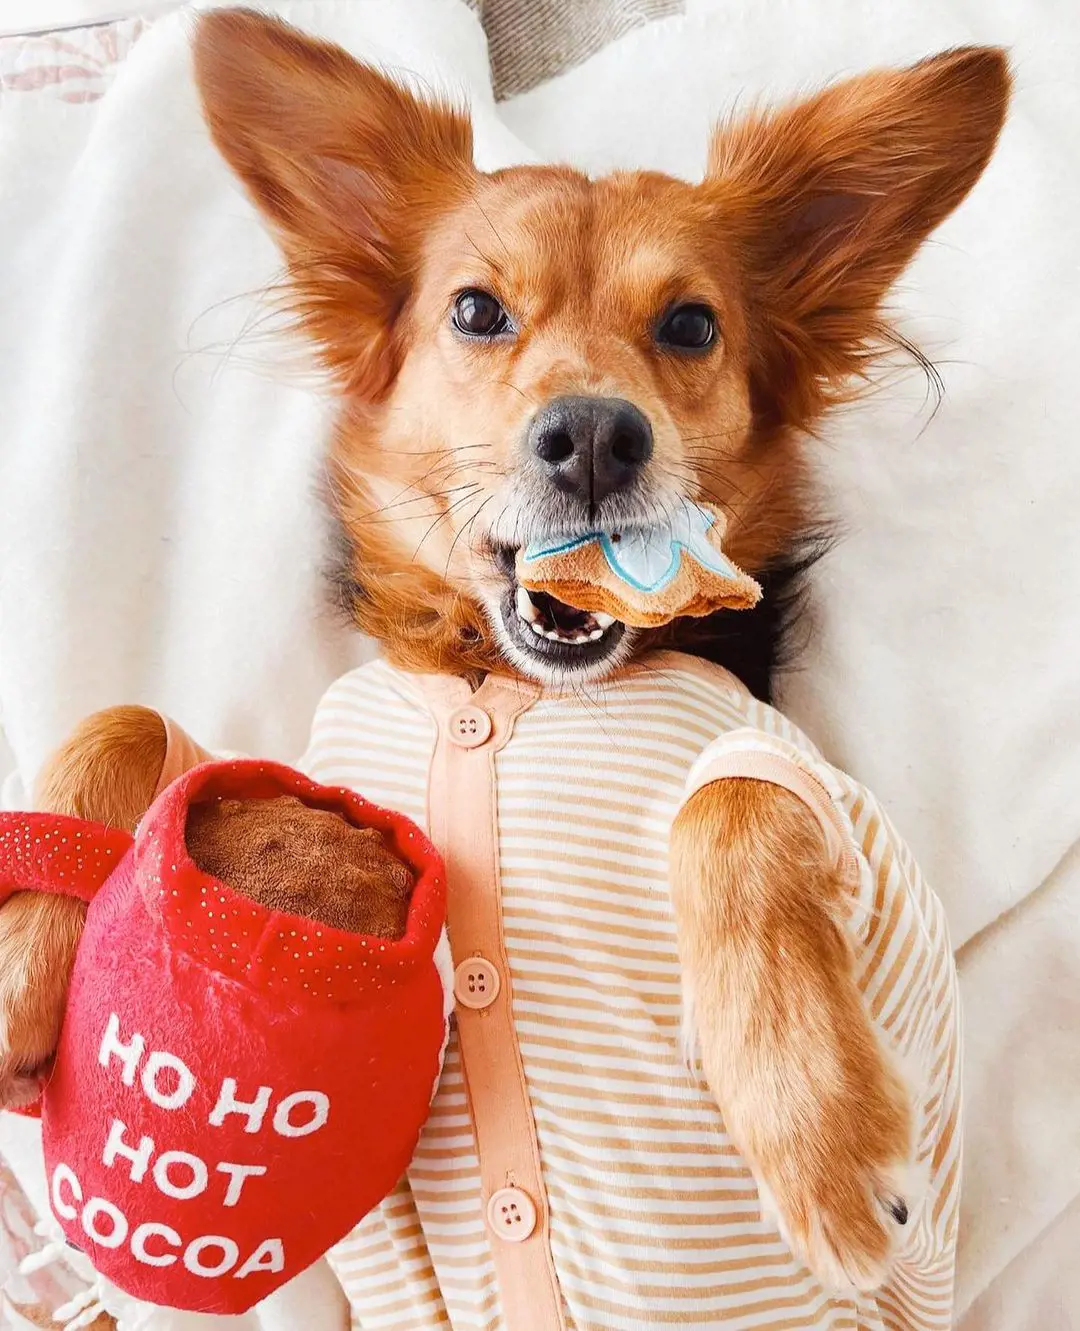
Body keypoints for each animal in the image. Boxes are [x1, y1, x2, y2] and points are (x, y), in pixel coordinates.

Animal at [0, 12, 1012, 1331]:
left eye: (692, 325)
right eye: (478, 310)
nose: (592, 435)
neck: (507, 686)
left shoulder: (916, 1014)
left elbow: (738, 792)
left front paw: (822, 1135)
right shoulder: (324, 771)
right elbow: (131, 719)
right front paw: (20, 967)